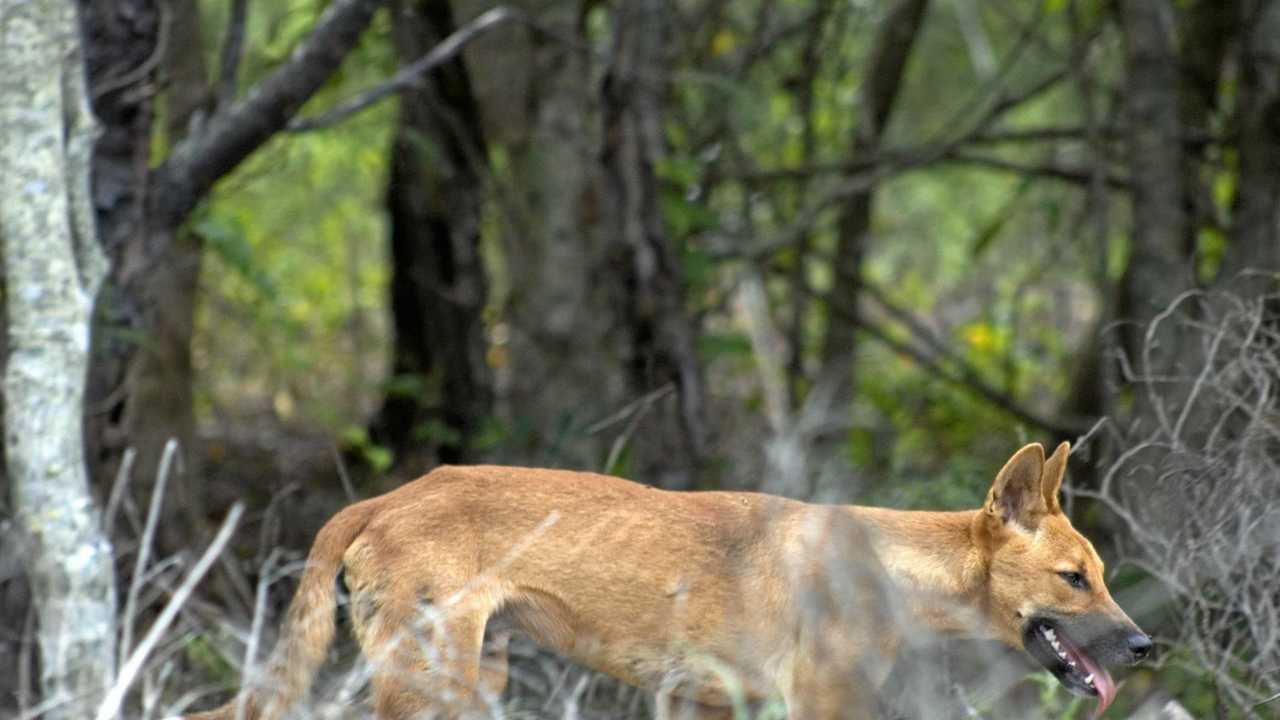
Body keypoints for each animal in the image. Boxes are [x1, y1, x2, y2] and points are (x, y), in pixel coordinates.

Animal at [185, 440, 1157, 712]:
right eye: (1075, 578)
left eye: (1101, 575)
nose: (1148, 645)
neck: (890, 571)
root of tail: (387, 495)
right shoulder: (822, 706)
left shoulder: (713, 703)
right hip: (433, 680)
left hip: (476, 673)